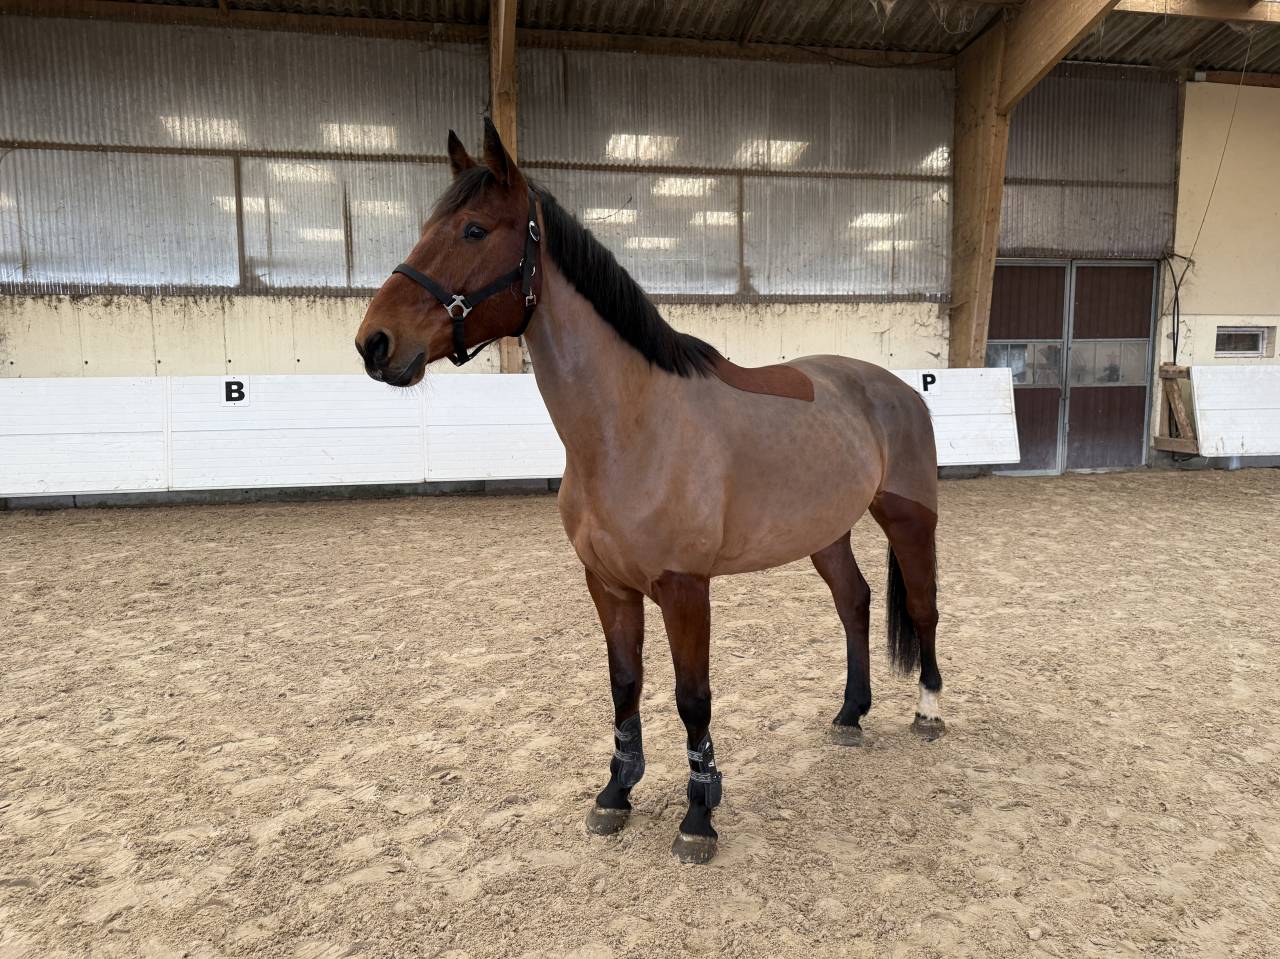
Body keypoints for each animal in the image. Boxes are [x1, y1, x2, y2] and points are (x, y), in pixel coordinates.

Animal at [355, 119, 944, 864]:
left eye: (473, 229)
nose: (374, 342)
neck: (629, 428)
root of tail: (898, 387)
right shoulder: (608, 584)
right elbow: (624, 684)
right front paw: (616, 792)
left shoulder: (685, 587)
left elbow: (693, 698)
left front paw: (699, 814)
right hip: (826, 532)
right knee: (855, 603)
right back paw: (849, 715)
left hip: (908, 519)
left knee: (922, 609)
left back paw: (928, 711)